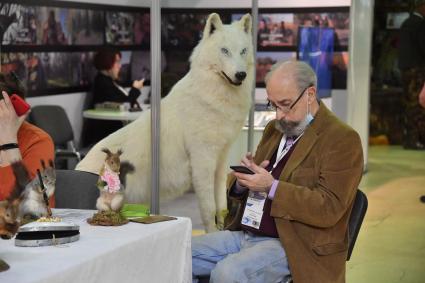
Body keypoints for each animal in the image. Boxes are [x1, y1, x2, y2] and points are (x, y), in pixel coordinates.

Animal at [77, 12, 252, 233]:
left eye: (243, 51)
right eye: (225, 50)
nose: (241, 74)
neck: (212, 97)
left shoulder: (221, 160)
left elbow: (221, 204)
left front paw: (223, 226)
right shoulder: (202, 162)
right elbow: (208, 209)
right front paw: (212, 234)